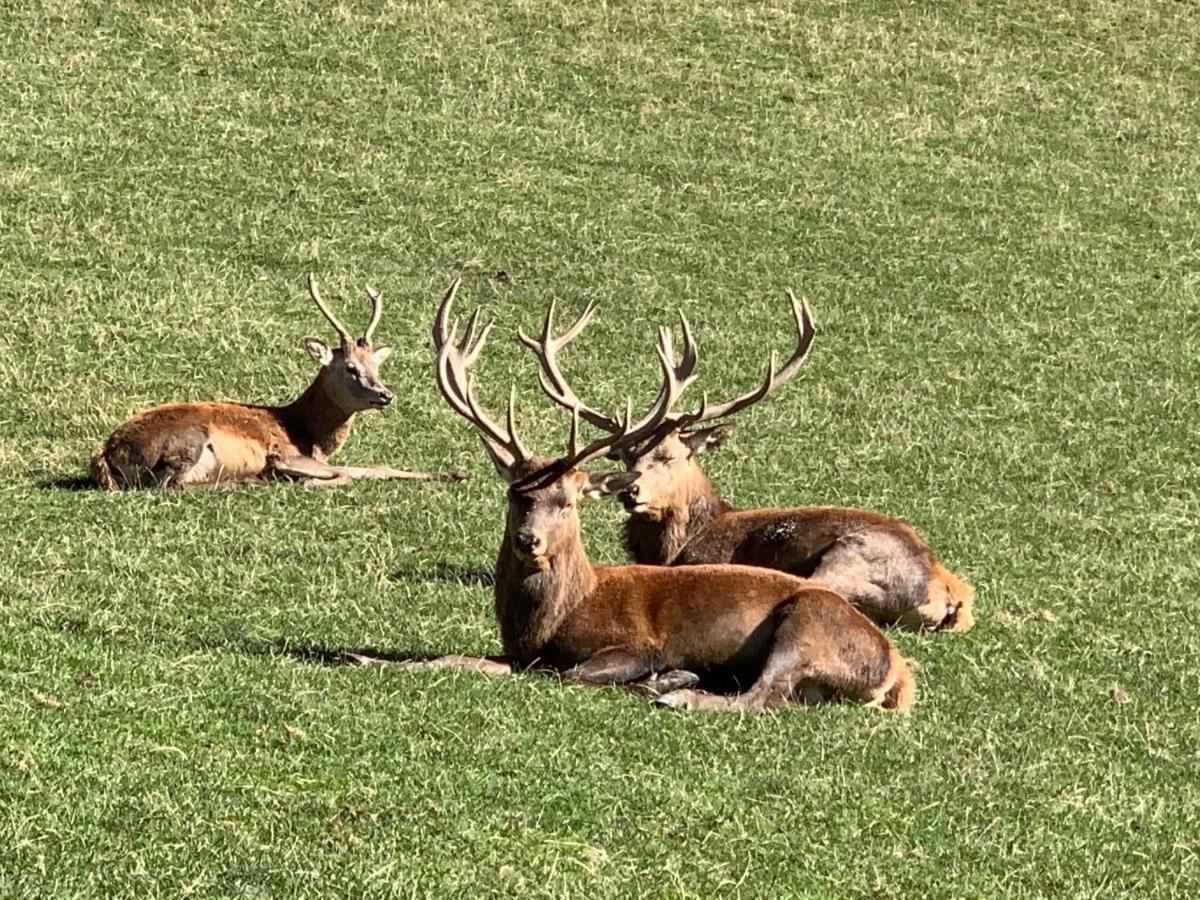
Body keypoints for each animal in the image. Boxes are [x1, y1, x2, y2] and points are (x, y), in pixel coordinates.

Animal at [87, 274, 463, 489]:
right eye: (350, 368)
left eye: (376, 365)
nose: (385, 394)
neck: (307, 433)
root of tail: (105, 454)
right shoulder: (288, 453)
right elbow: (351, 471)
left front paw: (456, 473)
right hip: (186, 443)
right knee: (169, 485)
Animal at [379, 278, 912, 715]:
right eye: (516, 494)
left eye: (567, 502)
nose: (529, 541)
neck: (554, 619)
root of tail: (896, 672)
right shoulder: (517, 652)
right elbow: (454, 659)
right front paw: (377, 660)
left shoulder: (637, 642)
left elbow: (568, 673)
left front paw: (662, 675)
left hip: (807, 623)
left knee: (762, 697)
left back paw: (676, 691)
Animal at [518, 289, 974, 633]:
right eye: (628, 454)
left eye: (669, 456)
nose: (632, 491)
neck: (682, 539)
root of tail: (946, 592)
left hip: (848, 559)